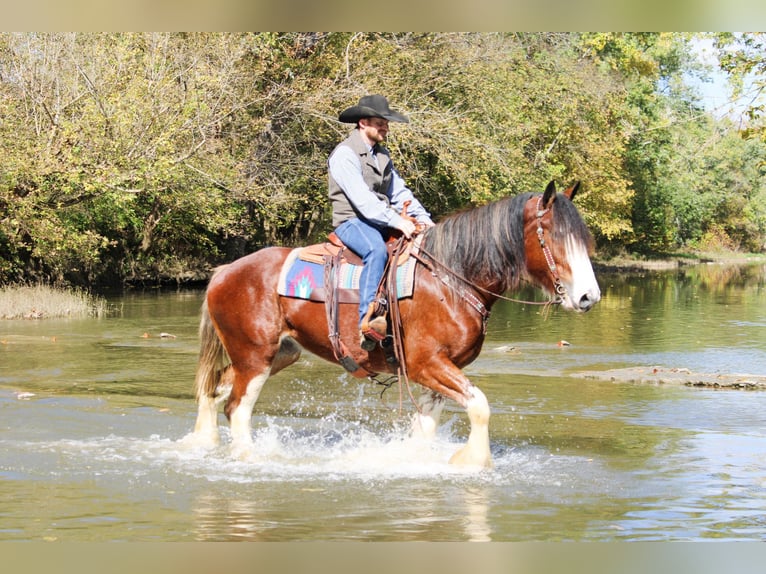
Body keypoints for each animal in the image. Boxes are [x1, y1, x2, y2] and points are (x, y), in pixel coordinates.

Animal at [186, 180, 600, 468]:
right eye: (555, 239)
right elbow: (480, 406)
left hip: (276, 355)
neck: (451, 280)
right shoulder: (426, 364)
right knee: (237, 408)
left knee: (215, 390)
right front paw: (473, 461)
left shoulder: (439, 371)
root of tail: (225, 271)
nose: (588, 297)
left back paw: (202, 442)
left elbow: (426, 427)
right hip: (254, 357)